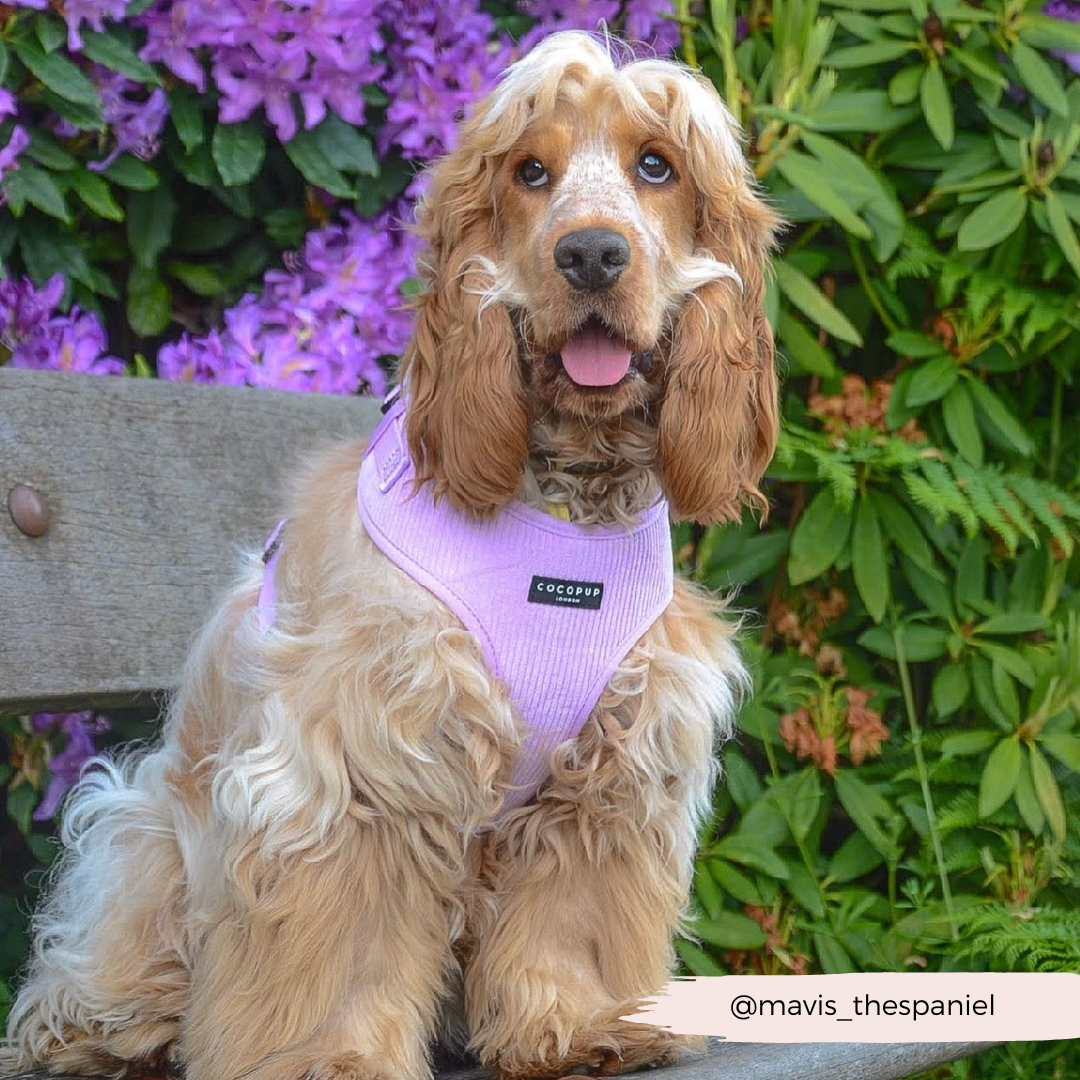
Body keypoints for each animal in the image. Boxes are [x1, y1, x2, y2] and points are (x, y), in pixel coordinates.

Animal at [0, 29, 777, 1080]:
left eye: (656, 165)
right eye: (530, 172)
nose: (590, 253)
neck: (564, 501)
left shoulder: (610, 768)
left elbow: (568, 920)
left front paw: (582, 1027)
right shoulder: (360, 754)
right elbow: (344, 935)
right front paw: (327, 1059)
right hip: (146, 823)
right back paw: (108, 1034)